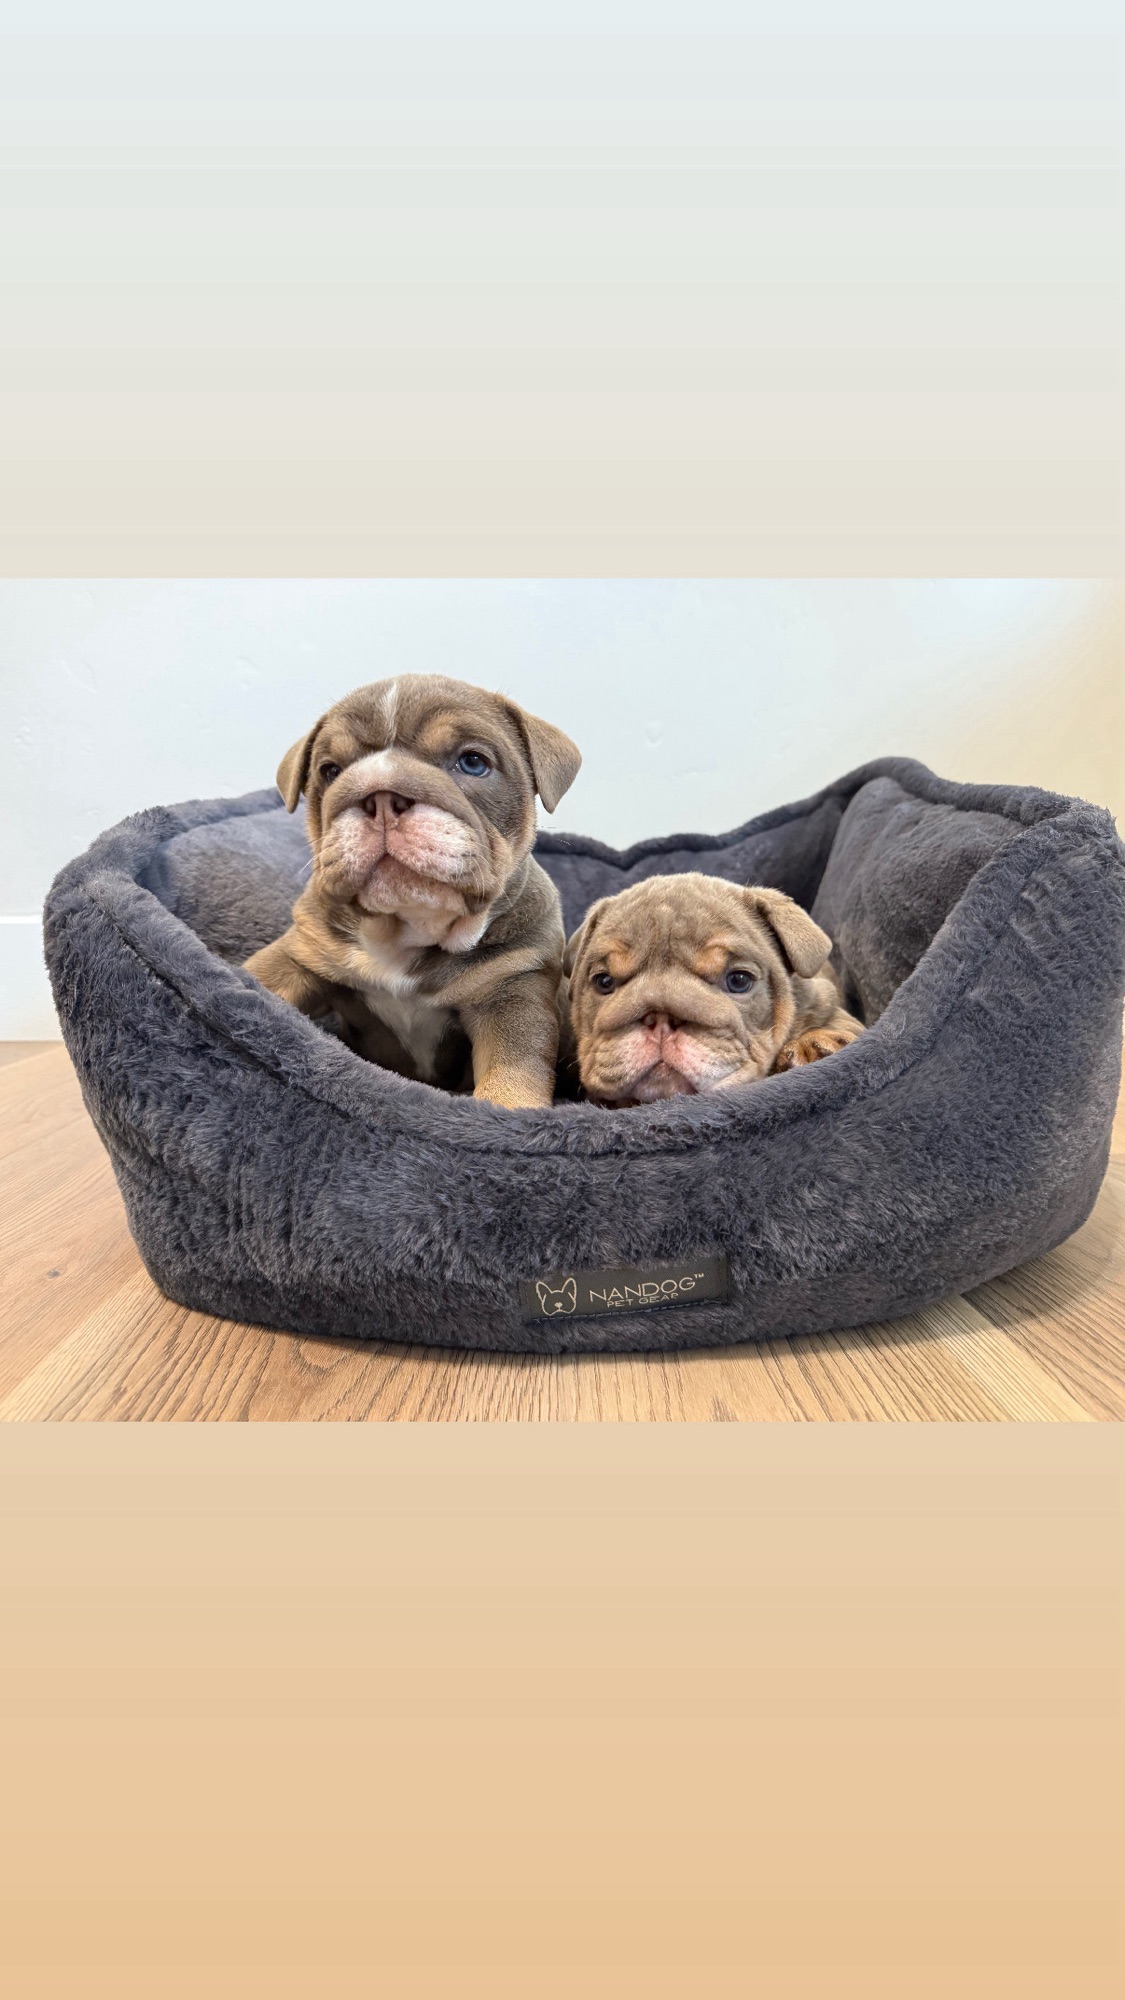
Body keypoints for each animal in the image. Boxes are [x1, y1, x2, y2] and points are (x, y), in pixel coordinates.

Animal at [243, 674, 581, 1109]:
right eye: (330, 770)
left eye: (473, 762)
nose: (381, 796)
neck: (406, 928)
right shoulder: (301, 954)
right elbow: (258, 982)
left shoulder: (512, 990)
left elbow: (512, 1074)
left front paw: (506, 1110)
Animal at [564, 872, 863, 1106]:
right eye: (604, 982)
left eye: (739, 980)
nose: (660, 1018)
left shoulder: (826, 1002)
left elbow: (838, 1024)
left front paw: (811, 1045)